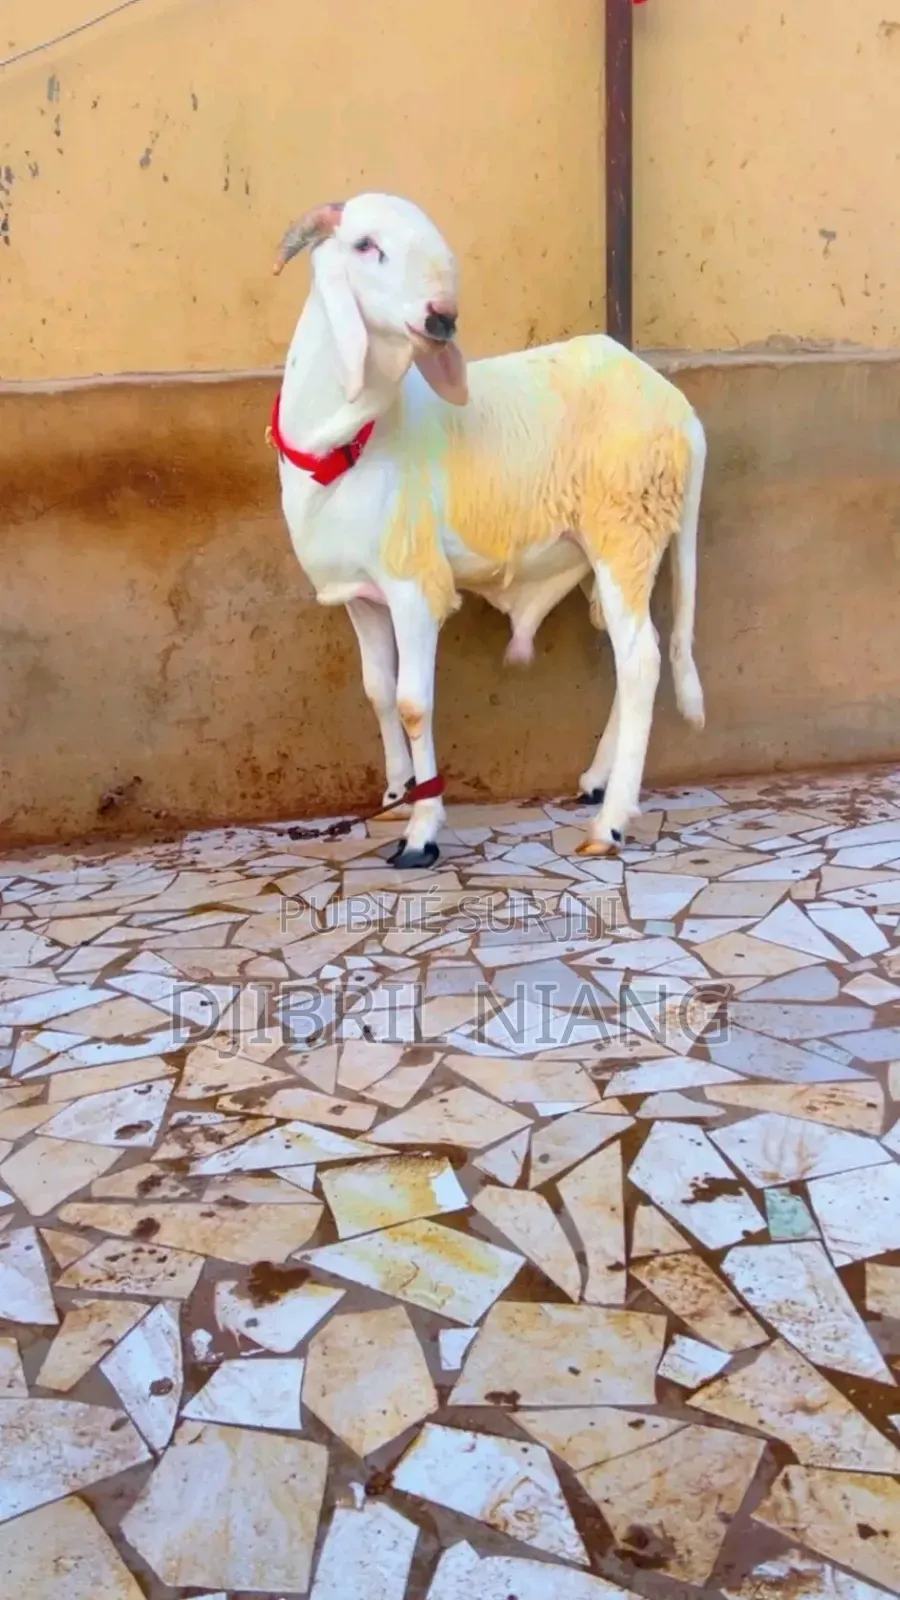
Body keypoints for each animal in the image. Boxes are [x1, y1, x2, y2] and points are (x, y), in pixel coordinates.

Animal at [270, 193, 706, 868]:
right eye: (365, 245)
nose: (441, 319)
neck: (346, 439)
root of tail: (680, 413)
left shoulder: (413, 584)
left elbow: (413, 702)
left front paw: (421, 831)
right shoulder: (360, 596)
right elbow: (377, 689)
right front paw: (395, 794)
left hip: (626, 534)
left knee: (640, 663)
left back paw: (609, 823)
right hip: (617, 546)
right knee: (633, 657)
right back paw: (596, 782)